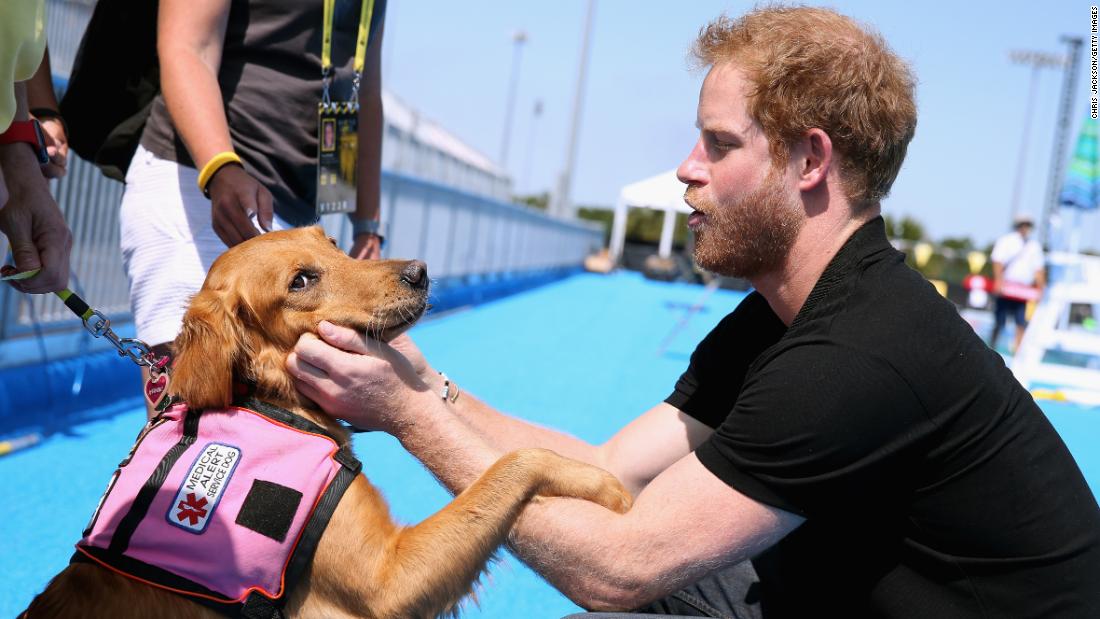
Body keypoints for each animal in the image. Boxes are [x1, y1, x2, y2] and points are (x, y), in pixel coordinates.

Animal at [23, 227, 629, 619]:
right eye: (301, 281)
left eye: (333, 244)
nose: (420, 272)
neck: (269, 399)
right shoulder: (389, 580)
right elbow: (513, 462)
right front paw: (604, 485)